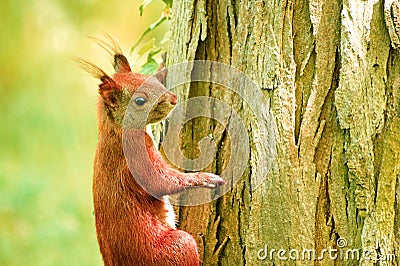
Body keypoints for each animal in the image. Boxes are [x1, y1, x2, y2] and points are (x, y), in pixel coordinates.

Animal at [80, 40, 225, 266]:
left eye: (147, 78)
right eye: (140, 101)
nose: (174, 99)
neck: (115, 130)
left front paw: (163, 63)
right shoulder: (136, 155)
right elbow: (160, 181)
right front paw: (204, 178)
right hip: (175, 248)